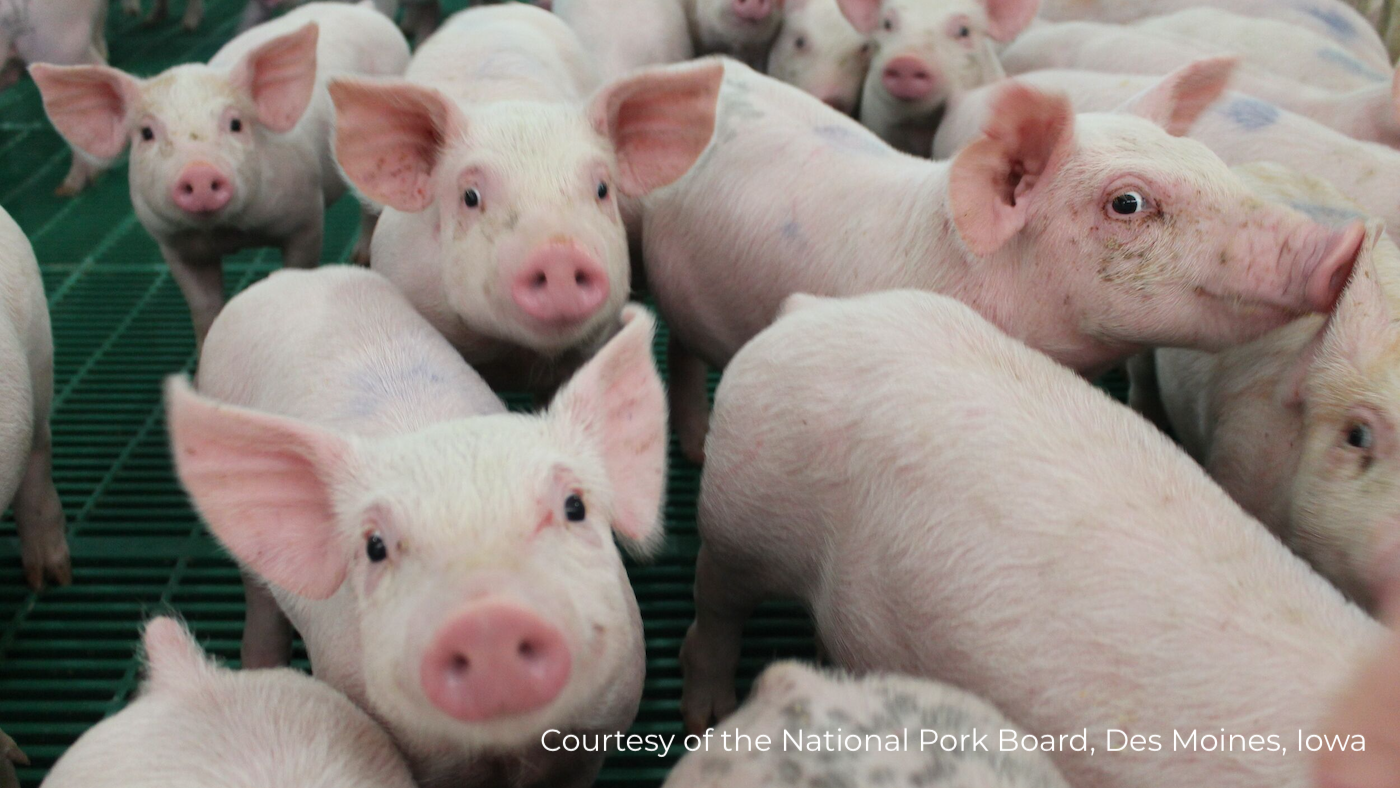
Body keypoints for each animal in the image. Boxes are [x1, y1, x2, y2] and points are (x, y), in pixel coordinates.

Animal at [32, 3, 411, 349]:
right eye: (146, 133)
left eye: (235, 124)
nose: (199, 172)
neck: (231, 233)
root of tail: (365, 11)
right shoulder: (173, 244)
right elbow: (204, 308)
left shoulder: (306, 214)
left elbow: (299, 264)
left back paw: (360, 258)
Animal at [167, 266, 668, 788]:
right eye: (375, 546)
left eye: (574, 506)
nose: (488, 619)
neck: (506, 753)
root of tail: (292, 276)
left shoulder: (601, 727)